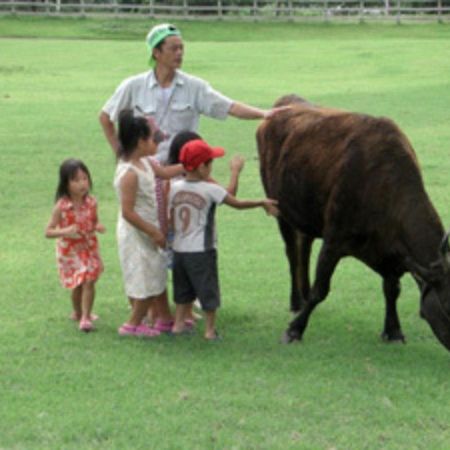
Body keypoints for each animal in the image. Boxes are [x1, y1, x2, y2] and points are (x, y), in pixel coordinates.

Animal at [256, 93, 450, 350]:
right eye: (449, 308)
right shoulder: (334, 240)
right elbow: (321, 289)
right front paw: (294, 329)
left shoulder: (391, 252)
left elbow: (392, 289)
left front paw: (393, 330)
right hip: (279, 208)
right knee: (291, 252)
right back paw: (297, 301)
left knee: (304, 246)